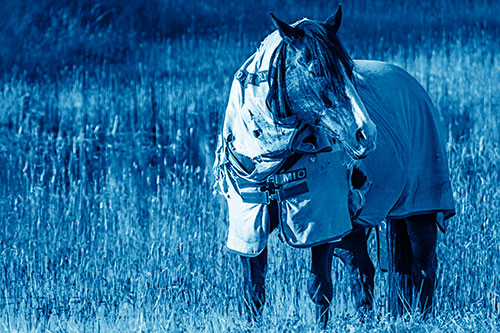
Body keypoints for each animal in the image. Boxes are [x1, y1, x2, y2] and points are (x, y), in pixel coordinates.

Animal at [213, 4, 456, 326]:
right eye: (316, 70)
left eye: (350, 70)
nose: (366, 133)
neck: (273, 159)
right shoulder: (250, 224)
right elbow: (253, 291)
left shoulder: (322, 225)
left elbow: (319, 288)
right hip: (353, 229)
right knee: (363, 270)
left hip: (419, 212)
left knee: (425, 267)